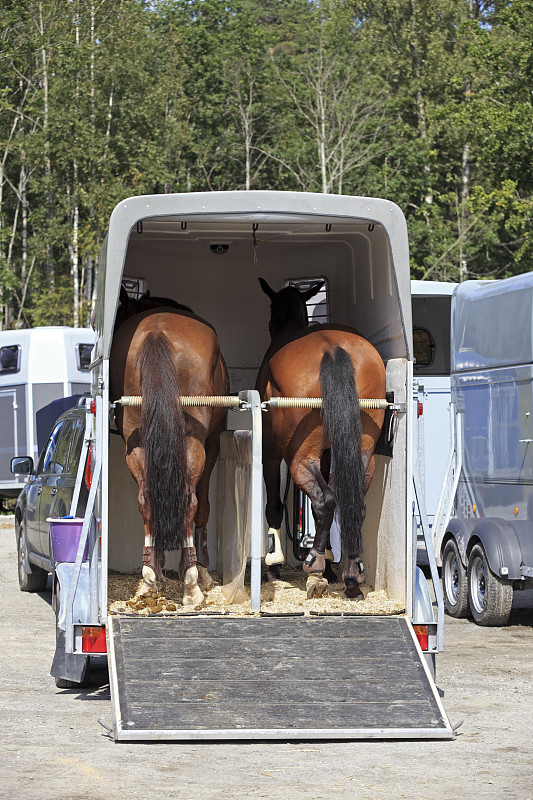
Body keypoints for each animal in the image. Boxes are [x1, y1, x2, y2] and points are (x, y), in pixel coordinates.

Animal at [256, 282, 384, 600]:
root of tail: (332, 348)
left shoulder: (270, 453)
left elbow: (274, 505)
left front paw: (273, 566)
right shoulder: (327, 454)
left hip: (300, 457)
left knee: (325, 501)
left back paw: (313, 563)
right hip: (362, 454)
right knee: (353, 503)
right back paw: (351, 575)